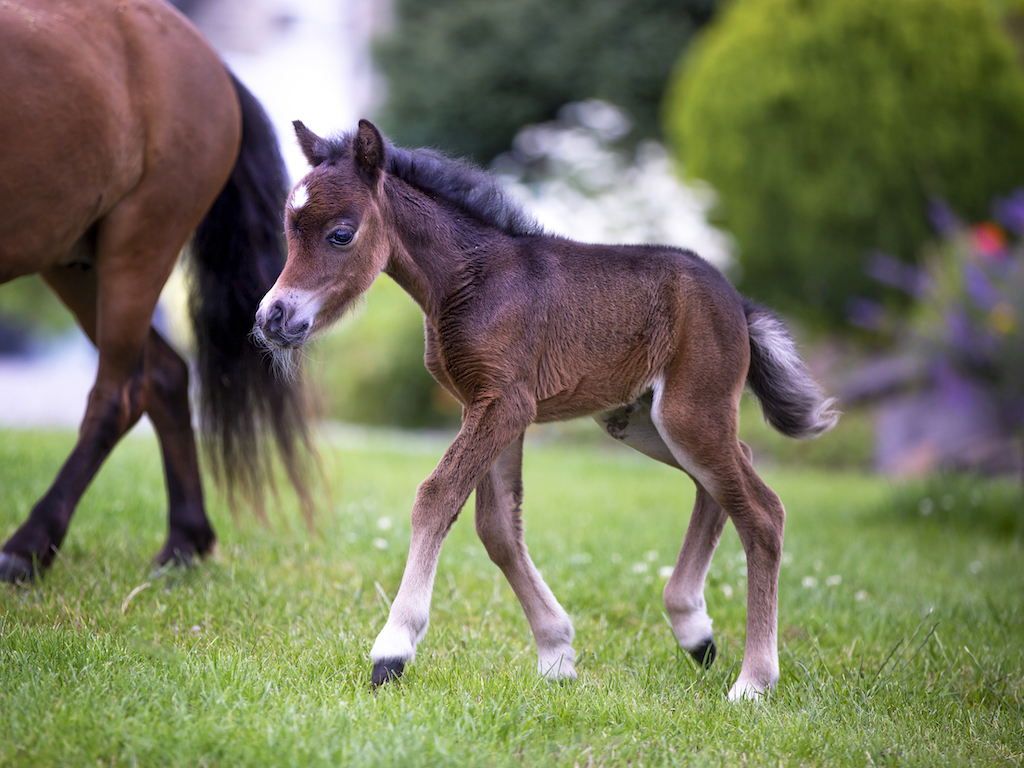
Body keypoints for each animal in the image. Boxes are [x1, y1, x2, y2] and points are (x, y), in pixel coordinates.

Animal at [0, 0, 313, 582]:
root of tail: (210, 60)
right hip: (76, 261)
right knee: (166, 374)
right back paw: (185, 542)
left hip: (140, 241)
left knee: (120, 395)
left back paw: (26, 547)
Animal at [255, 119, 838, 700]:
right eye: (290, 229)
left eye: (341, 234)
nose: (271, 317)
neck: (469, 279)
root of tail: (739, 304)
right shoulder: (489, 408)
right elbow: (497, 530)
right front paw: (557, 654)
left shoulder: (505, 404)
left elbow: (436, 497)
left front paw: (392, 649)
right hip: (642, 421)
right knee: (728, 475)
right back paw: (694, 631)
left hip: (689, 411)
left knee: (762, 512)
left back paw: (754, 681)